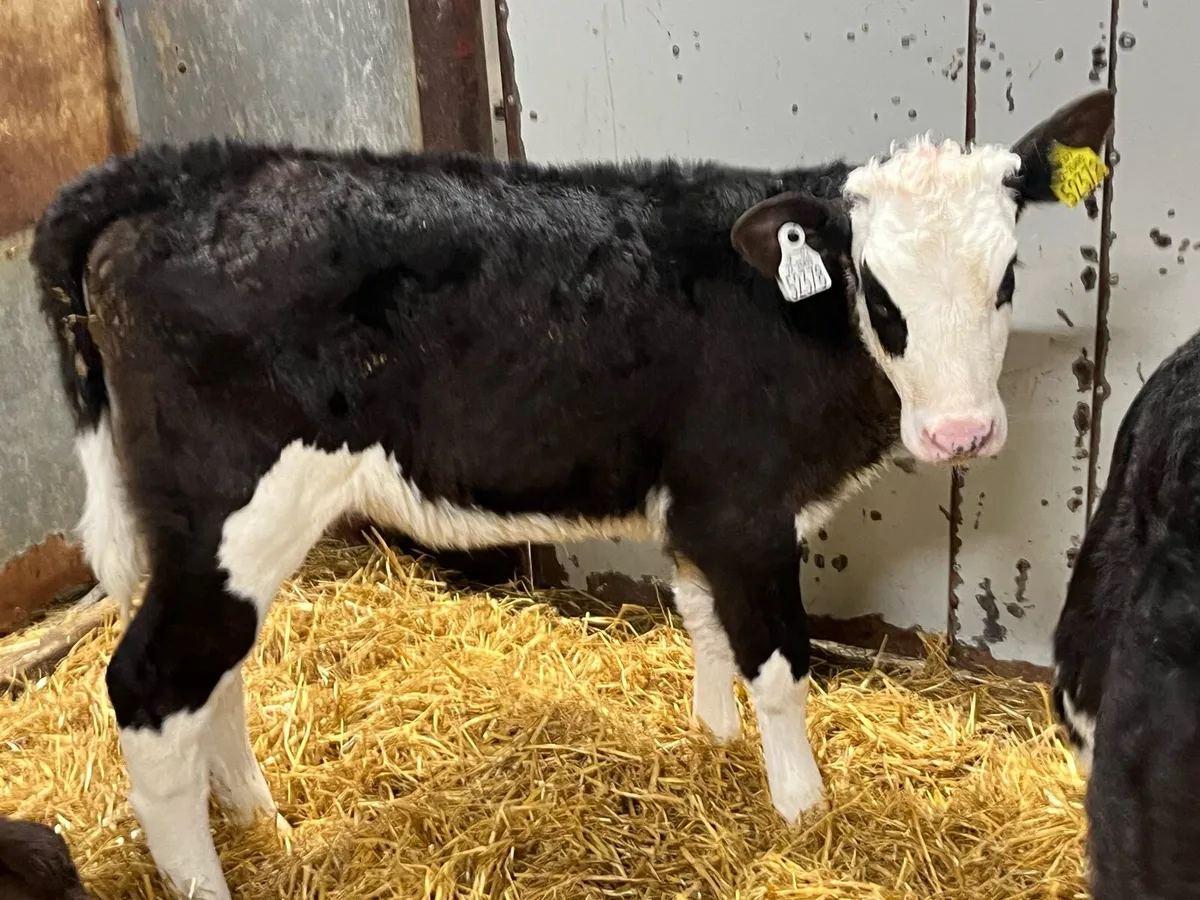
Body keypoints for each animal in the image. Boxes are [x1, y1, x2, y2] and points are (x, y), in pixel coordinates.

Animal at [32, 89, 1113, 899]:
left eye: (1007, 275)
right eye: (877, 292)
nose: (960, 433)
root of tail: (181, 172)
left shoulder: (698, 509)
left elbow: (702, 622)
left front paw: (712, 746)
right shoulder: (746, 508)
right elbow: (778, 664)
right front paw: (804, 814)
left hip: (207, 538)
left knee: (214, 677)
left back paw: (265, 824)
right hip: (237, 506)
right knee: (152, 686)